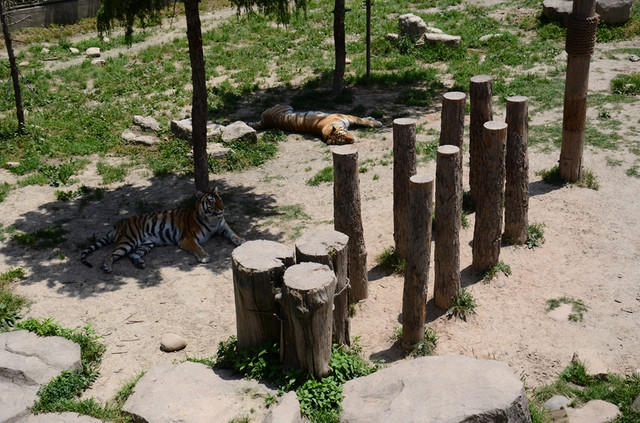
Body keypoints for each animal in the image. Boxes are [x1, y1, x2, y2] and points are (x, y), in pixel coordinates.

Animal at [80, 186, 244, 273]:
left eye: (219, 199)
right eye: (211, 201)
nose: (222, 209)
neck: (213, 220)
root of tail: (119, 224)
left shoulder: (222, 227)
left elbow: (232, 233)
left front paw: (241, 240)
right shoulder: (187, 239)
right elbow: (198, 247)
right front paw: (204, 256)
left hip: (146, 244)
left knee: (132, 254)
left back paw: (139, 264)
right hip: (129, 241)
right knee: (110, 254)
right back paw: (107, 266)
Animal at [248, 104, 383, 145]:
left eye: (342, 134)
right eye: (342, 140)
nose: (353, 140)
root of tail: (266, 122)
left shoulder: (346, 116)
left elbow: (362, 120)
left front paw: (376, 122)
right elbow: (362, 121)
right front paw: (374, 121)